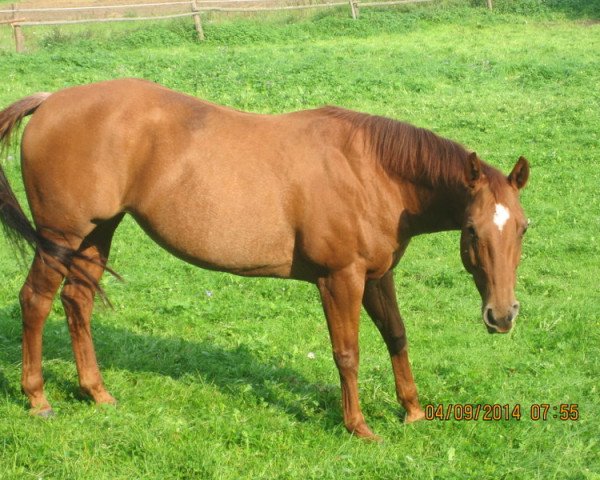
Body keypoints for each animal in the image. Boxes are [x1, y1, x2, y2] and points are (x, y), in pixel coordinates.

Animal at [0, 79, 528, 438]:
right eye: (472, 230)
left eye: (523, 228)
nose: (502, 316)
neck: (369, 172)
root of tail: (51, 101)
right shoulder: (340, 279)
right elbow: (348, 353)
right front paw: (358, 426)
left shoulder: (378, 275)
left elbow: (396, 335)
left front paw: (413, 411)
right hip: (61, 237)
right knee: (35, 302)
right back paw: (38, 398)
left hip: (95, 235)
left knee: (77, 301)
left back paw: (96, 392)